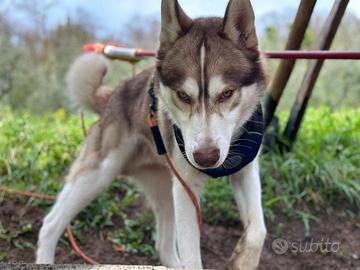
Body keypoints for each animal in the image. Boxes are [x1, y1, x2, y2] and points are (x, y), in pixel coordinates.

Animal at [36, 0, 268, 268]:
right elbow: (192, 257)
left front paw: (243, 260)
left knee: (164, 246)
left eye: (227, 93)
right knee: (50, 224)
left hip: (165, 187)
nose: (205, 158)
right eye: (183, 95)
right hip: (98, 174)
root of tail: (115, 93)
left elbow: (258, 230)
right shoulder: (187, 189)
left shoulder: (245, 171)